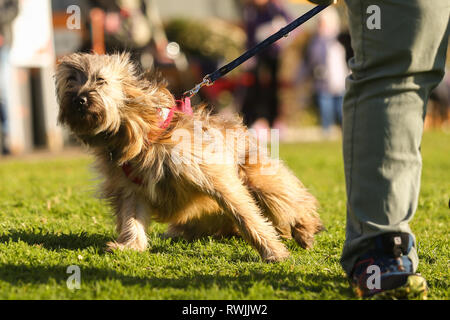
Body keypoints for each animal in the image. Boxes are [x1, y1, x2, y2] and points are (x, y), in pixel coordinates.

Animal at [55, 53, 324, 262]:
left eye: (100, 80)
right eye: (70, 81)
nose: (78, 99)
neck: (138, 134)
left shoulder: (213, 175)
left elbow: (244, 212)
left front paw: (272, 251)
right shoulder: (130, 187)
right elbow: (132, 215)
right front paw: (131, 245)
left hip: (260, 179)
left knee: (291, 199)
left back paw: (305, 227)